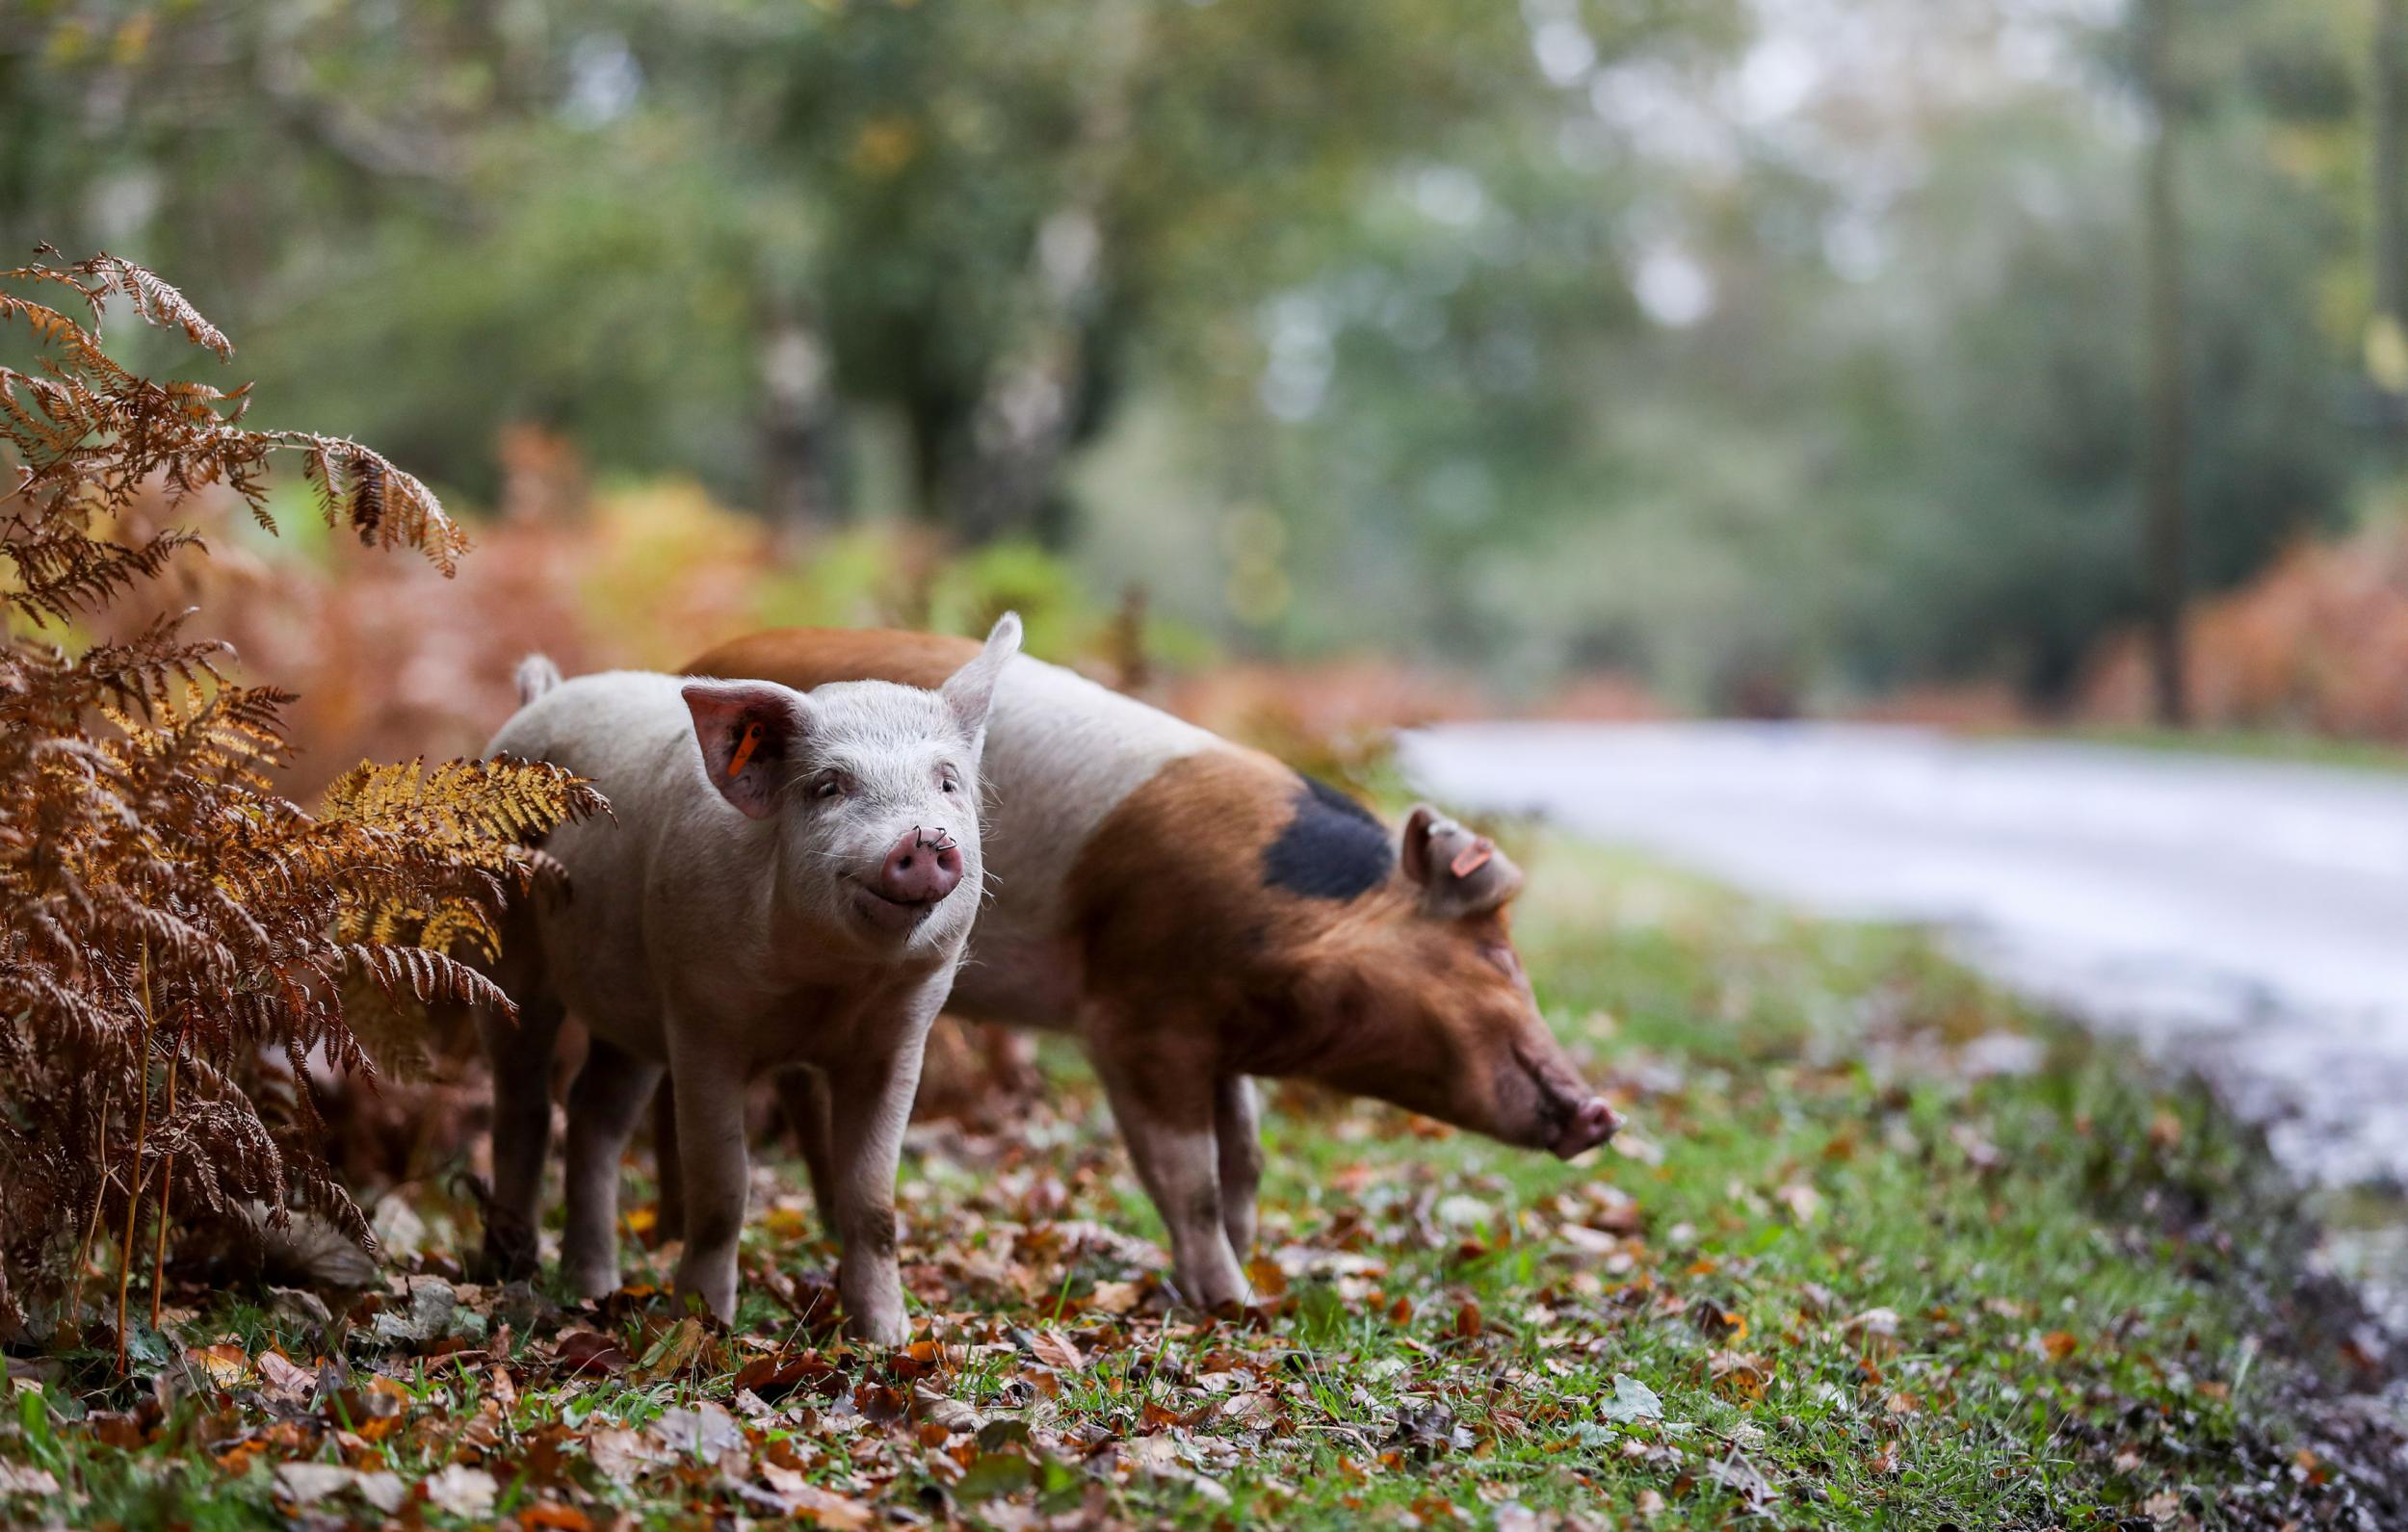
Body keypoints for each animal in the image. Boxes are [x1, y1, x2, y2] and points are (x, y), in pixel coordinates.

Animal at [474, 609, 1021, 1338]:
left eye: (947, 782)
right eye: (829, 786)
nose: (925, 838)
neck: (828, 987)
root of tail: (540, 697)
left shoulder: (900, 1037)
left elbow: (873, 1200)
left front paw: (887, 1337)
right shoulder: (702, 1022)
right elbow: (722, 1189)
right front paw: (702, 1327)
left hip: (634, 1012)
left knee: (593, 1111)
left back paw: (596, 1286)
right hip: (508, 952)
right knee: (526, 1105)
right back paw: (512, 1275)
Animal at [679, 626, 1618, 1310]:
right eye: (1497, 950)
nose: (1601, 1112)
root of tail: (696, 662)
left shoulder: (1222, 1042)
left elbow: (1248, 1158)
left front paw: (1250, 1263)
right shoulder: (1139, 1016)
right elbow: (1191, 1177)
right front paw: (1237, 1305)